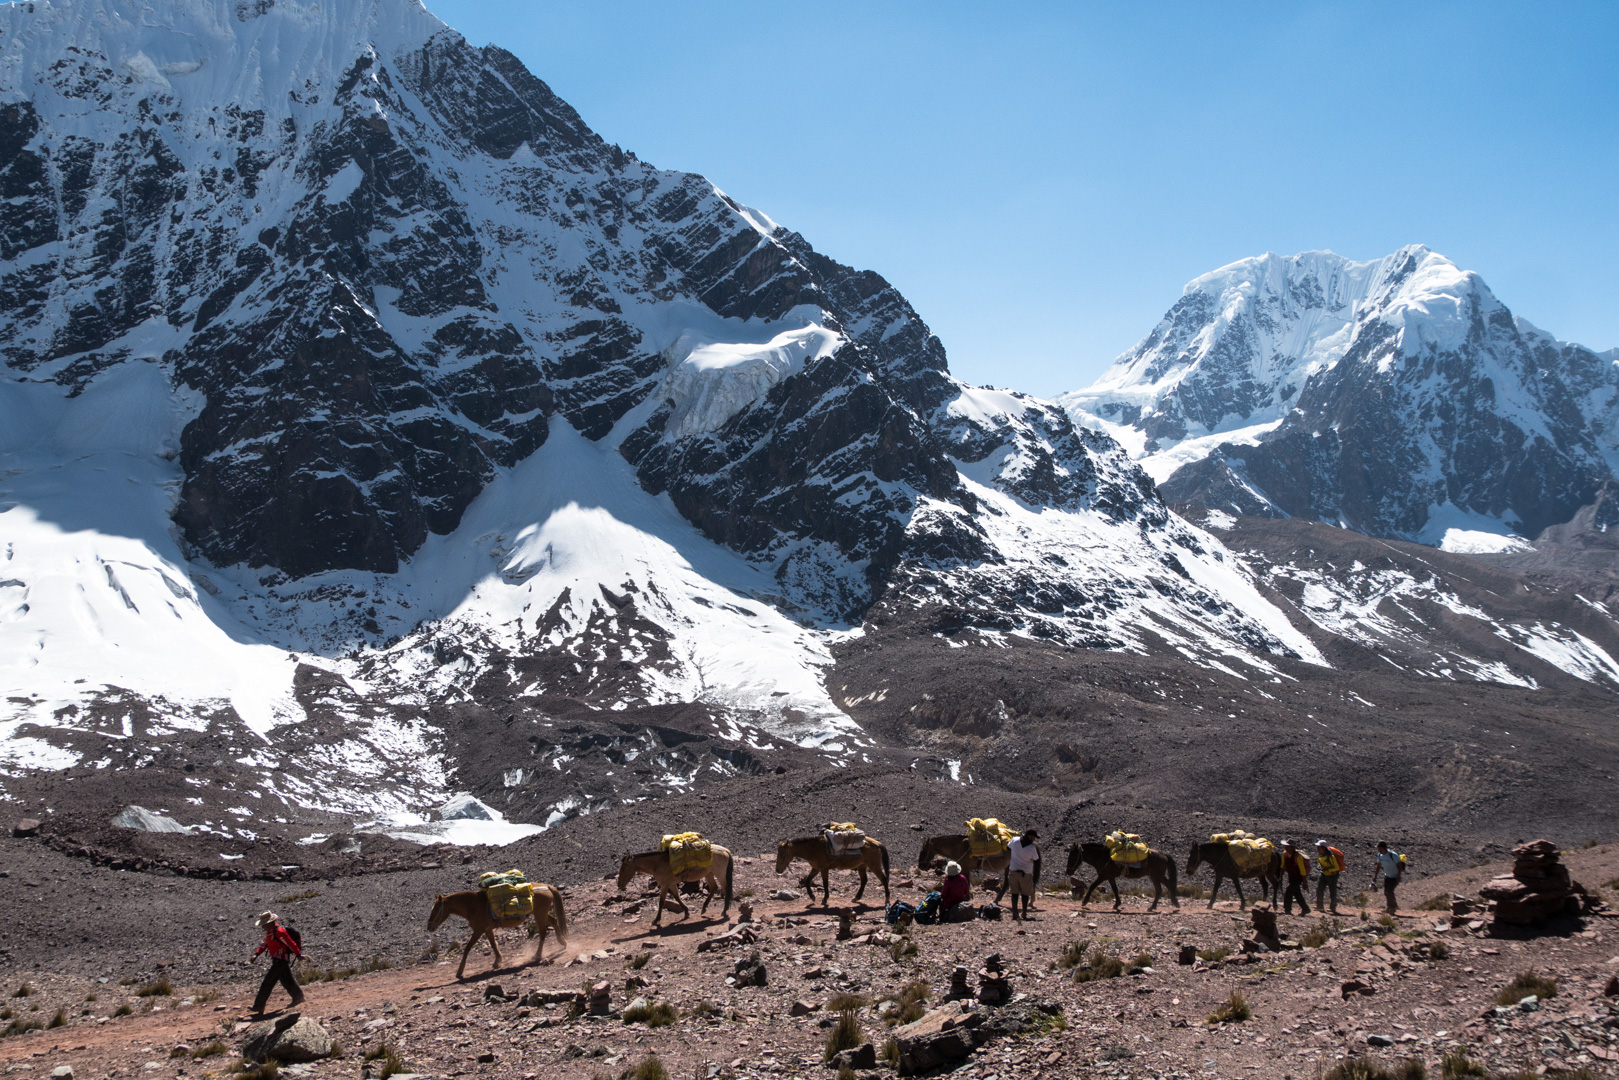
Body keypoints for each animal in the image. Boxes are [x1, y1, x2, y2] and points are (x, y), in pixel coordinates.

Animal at [427, 887, 566, 977]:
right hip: (541, 914)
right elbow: (493, 944)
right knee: (554, 921)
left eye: (436, 909)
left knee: (543, 932)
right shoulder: (487, 930)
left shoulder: (478, 930)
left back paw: (537, 955)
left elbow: (467, 948)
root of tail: (546, 887)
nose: (429, 927)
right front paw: (497, 961)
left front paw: (460, 971)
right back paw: (562, 942)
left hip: (539, 915)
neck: (473, 906)